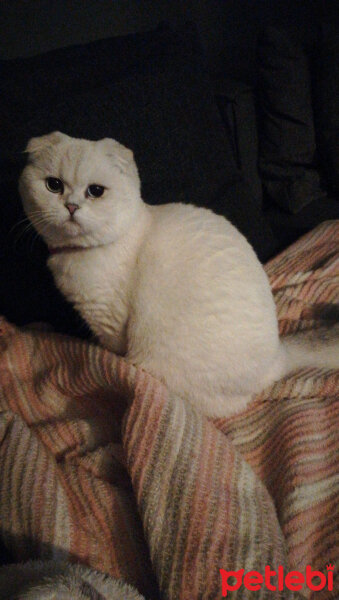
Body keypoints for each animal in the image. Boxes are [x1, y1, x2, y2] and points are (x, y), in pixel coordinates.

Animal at [19, 132, 339, 418]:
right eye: (54, 185)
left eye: (95, 191)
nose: (71, 206)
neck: (75, 256)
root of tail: (277, 358)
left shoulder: (110, 324)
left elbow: (113, 353)